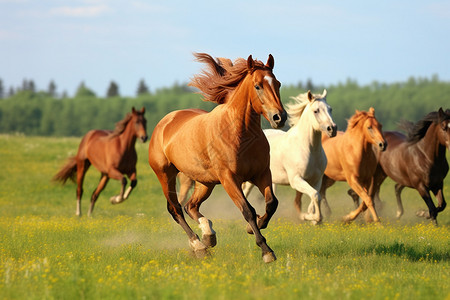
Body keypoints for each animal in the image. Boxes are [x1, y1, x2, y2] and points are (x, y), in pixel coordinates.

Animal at [149, 53, 286, 262]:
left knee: (191, 206)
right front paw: (266, 251)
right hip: (166, 175)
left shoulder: (262, 174)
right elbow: (248, 210)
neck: (240, 133)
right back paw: (198, 245)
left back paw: (208, 235)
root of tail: (163, 123)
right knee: (176, 208)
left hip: (205, 182)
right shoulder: (229, 178)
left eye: (277, 83)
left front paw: (256, 226)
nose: (280, 117)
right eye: (257, 86)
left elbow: (271, 204)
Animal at [243, 90, 334, 224]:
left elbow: (314, 198)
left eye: (330, 109)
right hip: (251, 180)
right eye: (316, 111)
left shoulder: (316, 181)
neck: (309, 149)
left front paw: (312, 218)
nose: (332, 128)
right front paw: (310, 217)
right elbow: (315, 195)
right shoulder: (296, 180)